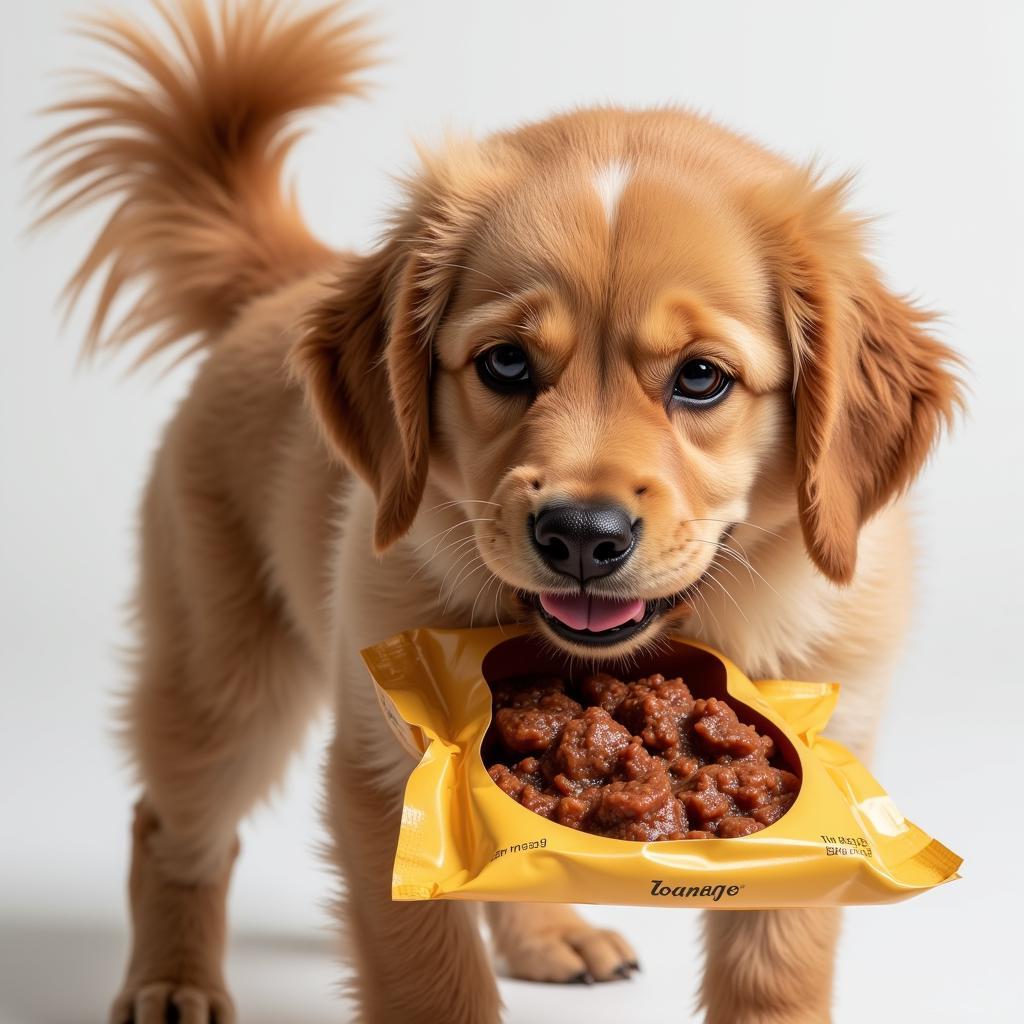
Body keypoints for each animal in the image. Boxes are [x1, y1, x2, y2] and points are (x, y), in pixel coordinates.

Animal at [34, 2, 958, 1024]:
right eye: (506, 363)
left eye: (701, 378)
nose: (582, 536)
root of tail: (287, 286)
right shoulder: (379, 776)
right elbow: (433, 979)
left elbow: (776, 971)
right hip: (223, 673)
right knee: (172, 822)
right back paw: (172, 980)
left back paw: (549, 931)